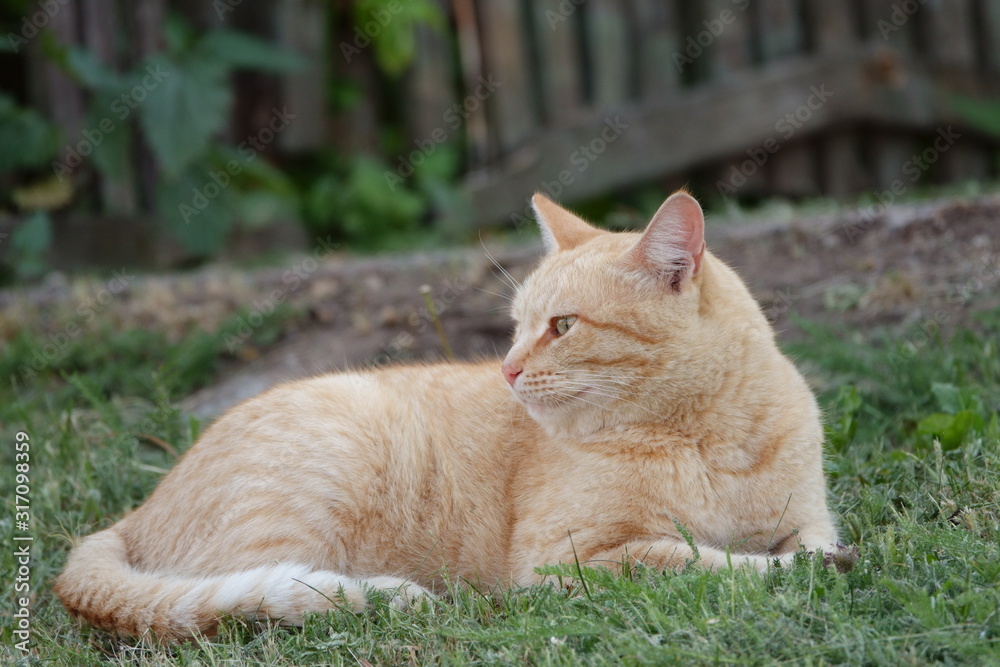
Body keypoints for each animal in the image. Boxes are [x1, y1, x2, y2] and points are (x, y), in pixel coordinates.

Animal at [54, 192, 840, 640]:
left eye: (561, 326)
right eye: (517, 326)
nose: (508, 368)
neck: (707, 439)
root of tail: (134, 513)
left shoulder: (810, 513)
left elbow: (805, 540)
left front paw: (802, 557)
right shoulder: (568, 560)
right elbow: (697, 559)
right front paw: (783, 568)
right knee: (263, 591)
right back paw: (387, 598)